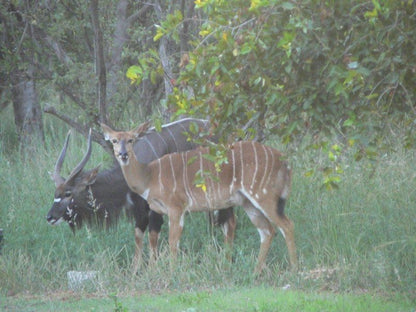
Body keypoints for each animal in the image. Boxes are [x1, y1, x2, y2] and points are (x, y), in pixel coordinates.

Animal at [47, 118, 236, 270]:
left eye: (68, 194)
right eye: (56, 192)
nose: (50, 217)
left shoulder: (155, 209)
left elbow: (153, 236)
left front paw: (153, 268)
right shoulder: (140, 211)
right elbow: (138, 236)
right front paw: (135, 270)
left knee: (229, 221)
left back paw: (227, 260)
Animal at [102, 120, 298, 272]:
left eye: (131, 140)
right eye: (114, 140)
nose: (123, 154)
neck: (149, 176)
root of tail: (285, 162)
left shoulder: (176, 207)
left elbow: (173, 242)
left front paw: (172, 274)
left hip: (264, 195)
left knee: (287, 225)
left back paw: (294, 270)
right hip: (248, 202)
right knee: (267, 231)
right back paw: (255, 272)